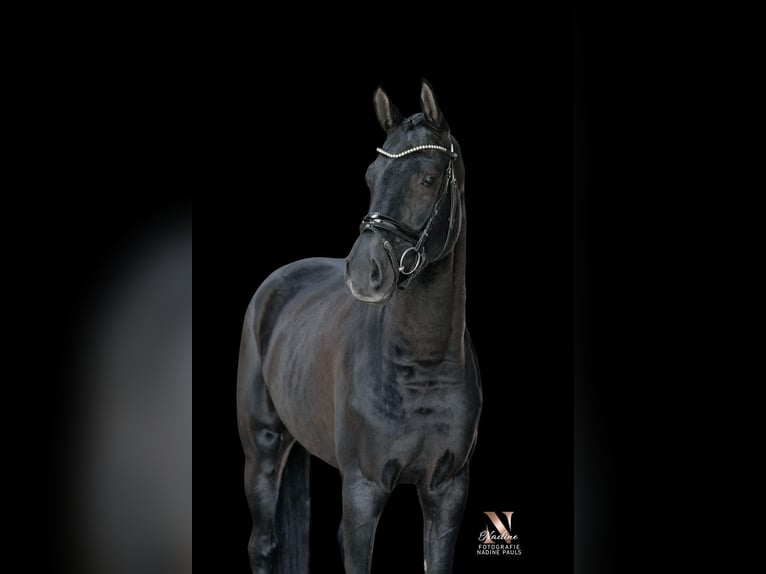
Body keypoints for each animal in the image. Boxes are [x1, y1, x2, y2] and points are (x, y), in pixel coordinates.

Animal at [237, 80, 481, 574]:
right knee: (263, 544)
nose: (365, 272)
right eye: (371, 176)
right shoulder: (363, 489)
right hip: (262, 449)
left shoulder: (447, 491)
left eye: (428, 178)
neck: (423, 365)